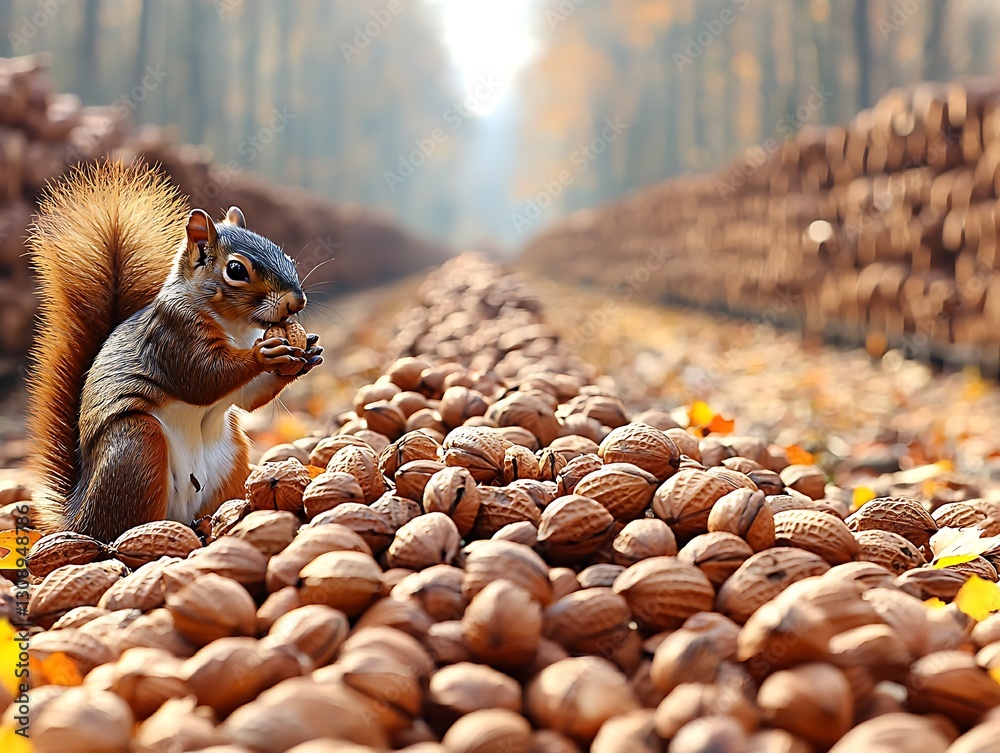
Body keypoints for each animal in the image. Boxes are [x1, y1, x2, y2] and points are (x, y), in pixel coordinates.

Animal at [25, 161, 324, 542]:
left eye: (285, 254)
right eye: (236, 270)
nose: (296, 301)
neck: (237, 327)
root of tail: (78, 516)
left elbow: (246, 397)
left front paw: (307, 354)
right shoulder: (172, 338)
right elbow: (203, 378)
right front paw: (264, 355)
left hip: (232, 458)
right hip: (137, 447)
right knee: (120, 527)